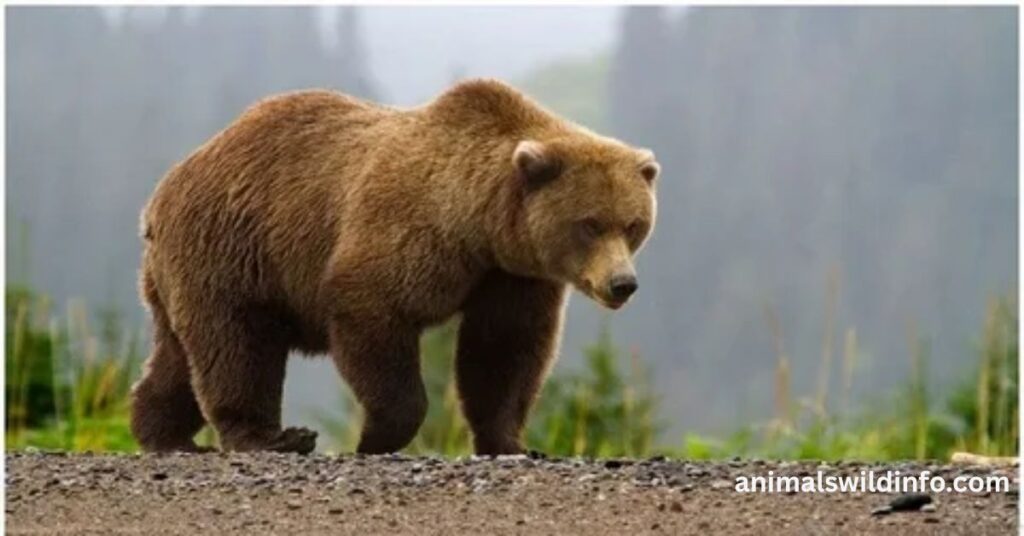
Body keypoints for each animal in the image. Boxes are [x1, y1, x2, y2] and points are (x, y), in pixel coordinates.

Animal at [129, 79, 659, 455]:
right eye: (589, 224)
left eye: (633, 224)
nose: (622, 284)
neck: (480, 225)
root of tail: (163, 190)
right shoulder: (409, 232)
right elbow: (373, 312)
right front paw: (375, 437)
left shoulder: (511, 275)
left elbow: (504, 351)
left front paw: (512, 442)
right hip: (232, 247)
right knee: (237, 345)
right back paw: (272, 437)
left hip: (187, 270)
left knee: (180, 354)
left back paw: (163, 433)